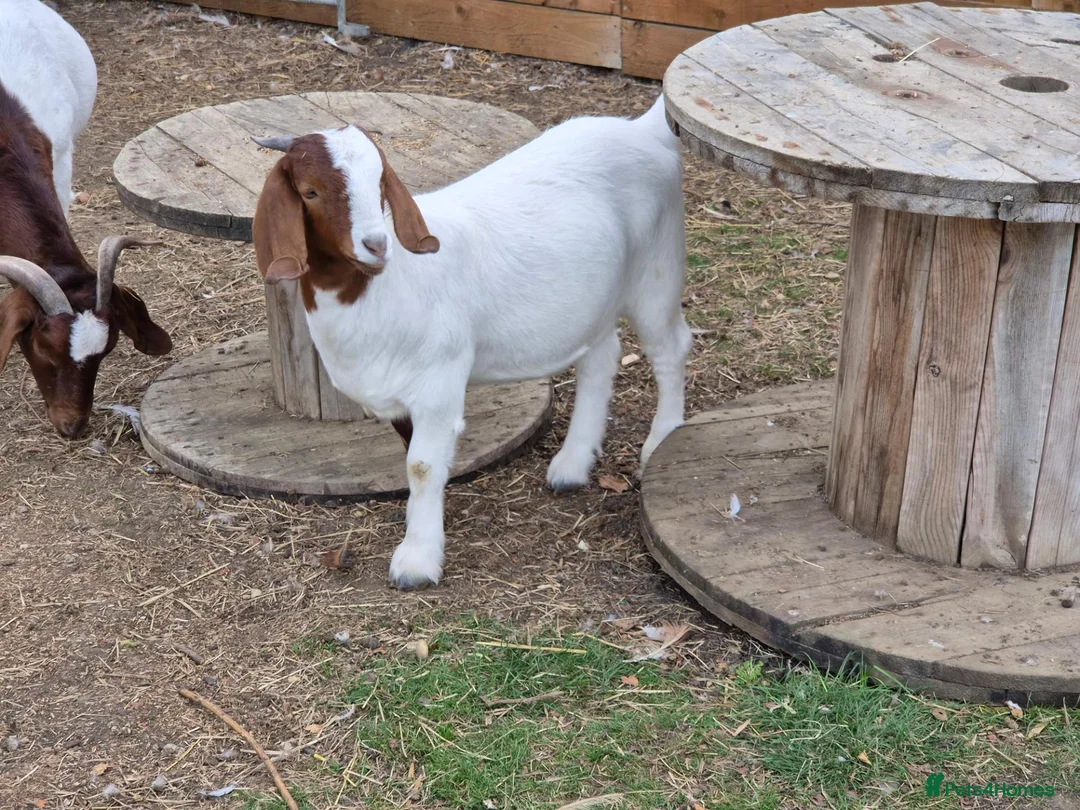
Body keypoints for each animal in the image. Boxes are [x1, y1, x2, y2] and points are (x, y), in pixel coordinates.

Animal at [253, 97, 690, 589]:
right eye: (309, 192)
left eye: (380, 182)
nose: (377, 244)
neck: (383, 289)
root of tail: (643, 130)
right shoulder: (402, 390)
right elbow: (411, 455)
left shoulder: (438, 380)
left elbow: (421, 465)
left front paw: (417, 561)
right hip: (595, 300)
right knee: (601, 356)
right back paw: (573, 464)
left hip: (657, 266)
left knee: (670, 347)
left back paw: (660, 441)